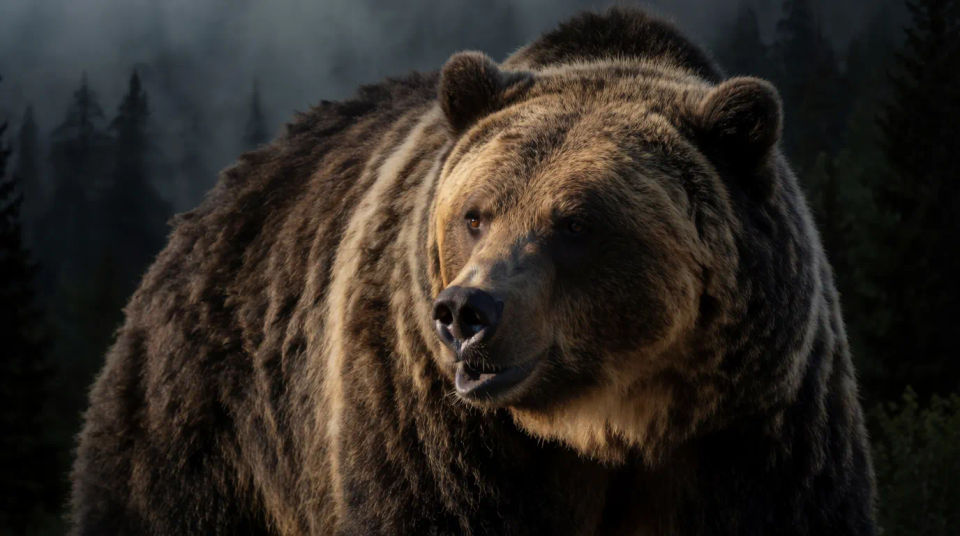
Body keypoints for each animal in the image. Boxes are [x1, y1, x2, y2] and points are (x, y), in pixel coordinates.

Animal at [70, 7, 876, 535]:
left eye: (575, 223)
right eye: (476, 214)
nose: (466, 312)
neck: (608, 425)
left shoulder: (756, 431)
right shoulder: (437, 435)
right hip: (208, 426)